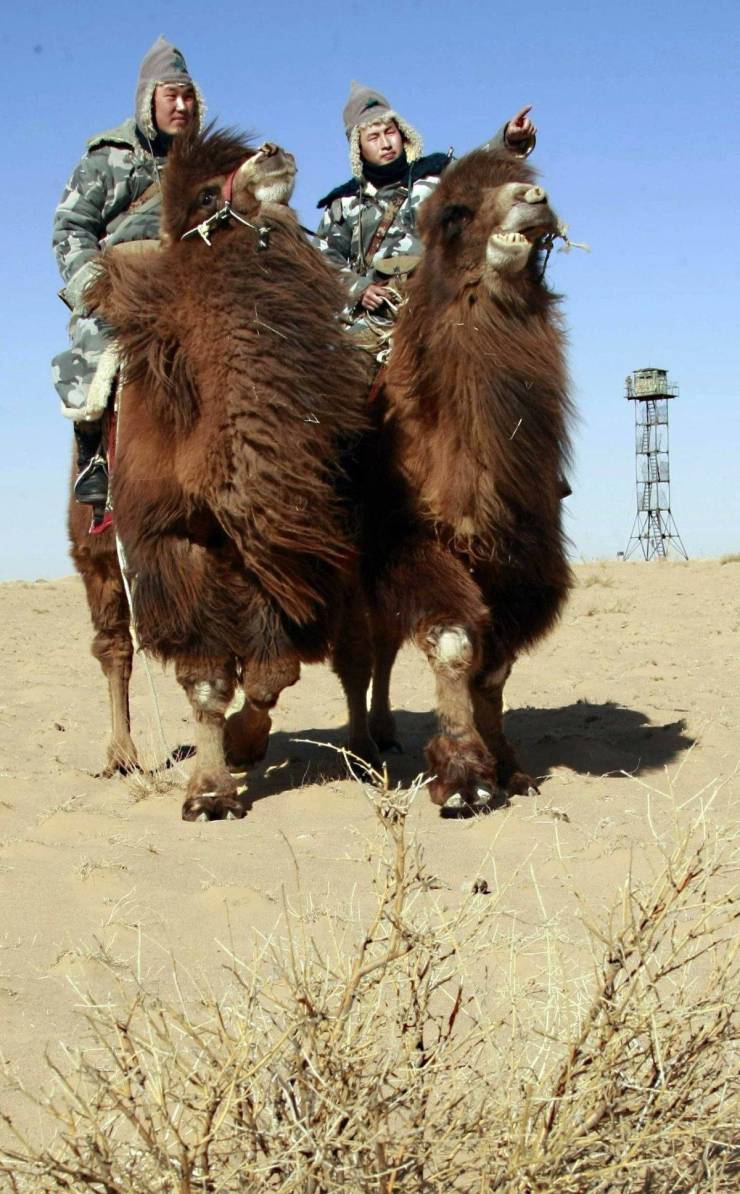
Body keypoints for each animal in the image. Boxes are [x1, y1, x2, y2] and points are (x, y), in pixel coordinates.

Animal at [68, 130, 374, 821]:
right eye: (207, 194)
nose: (273, 150)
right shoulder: (169, 544)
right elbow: (206, 678)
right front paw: (209, 791)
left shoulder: (280, 554)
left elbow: (272, 673)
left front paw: (243, 743)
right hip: (95, 554)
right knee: (114, 647)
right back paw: (120, 755)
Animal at [360, 144, 575, 816]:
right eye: (454, 213)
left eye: (527, 180)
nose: (533, 200)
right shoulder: (411, 544)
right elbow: (454, 642)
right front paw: (461, 777)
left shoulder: (519, 563)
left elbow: (493, 671)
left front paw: (511, 769)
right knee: (374, 649)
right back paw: (373, 737)